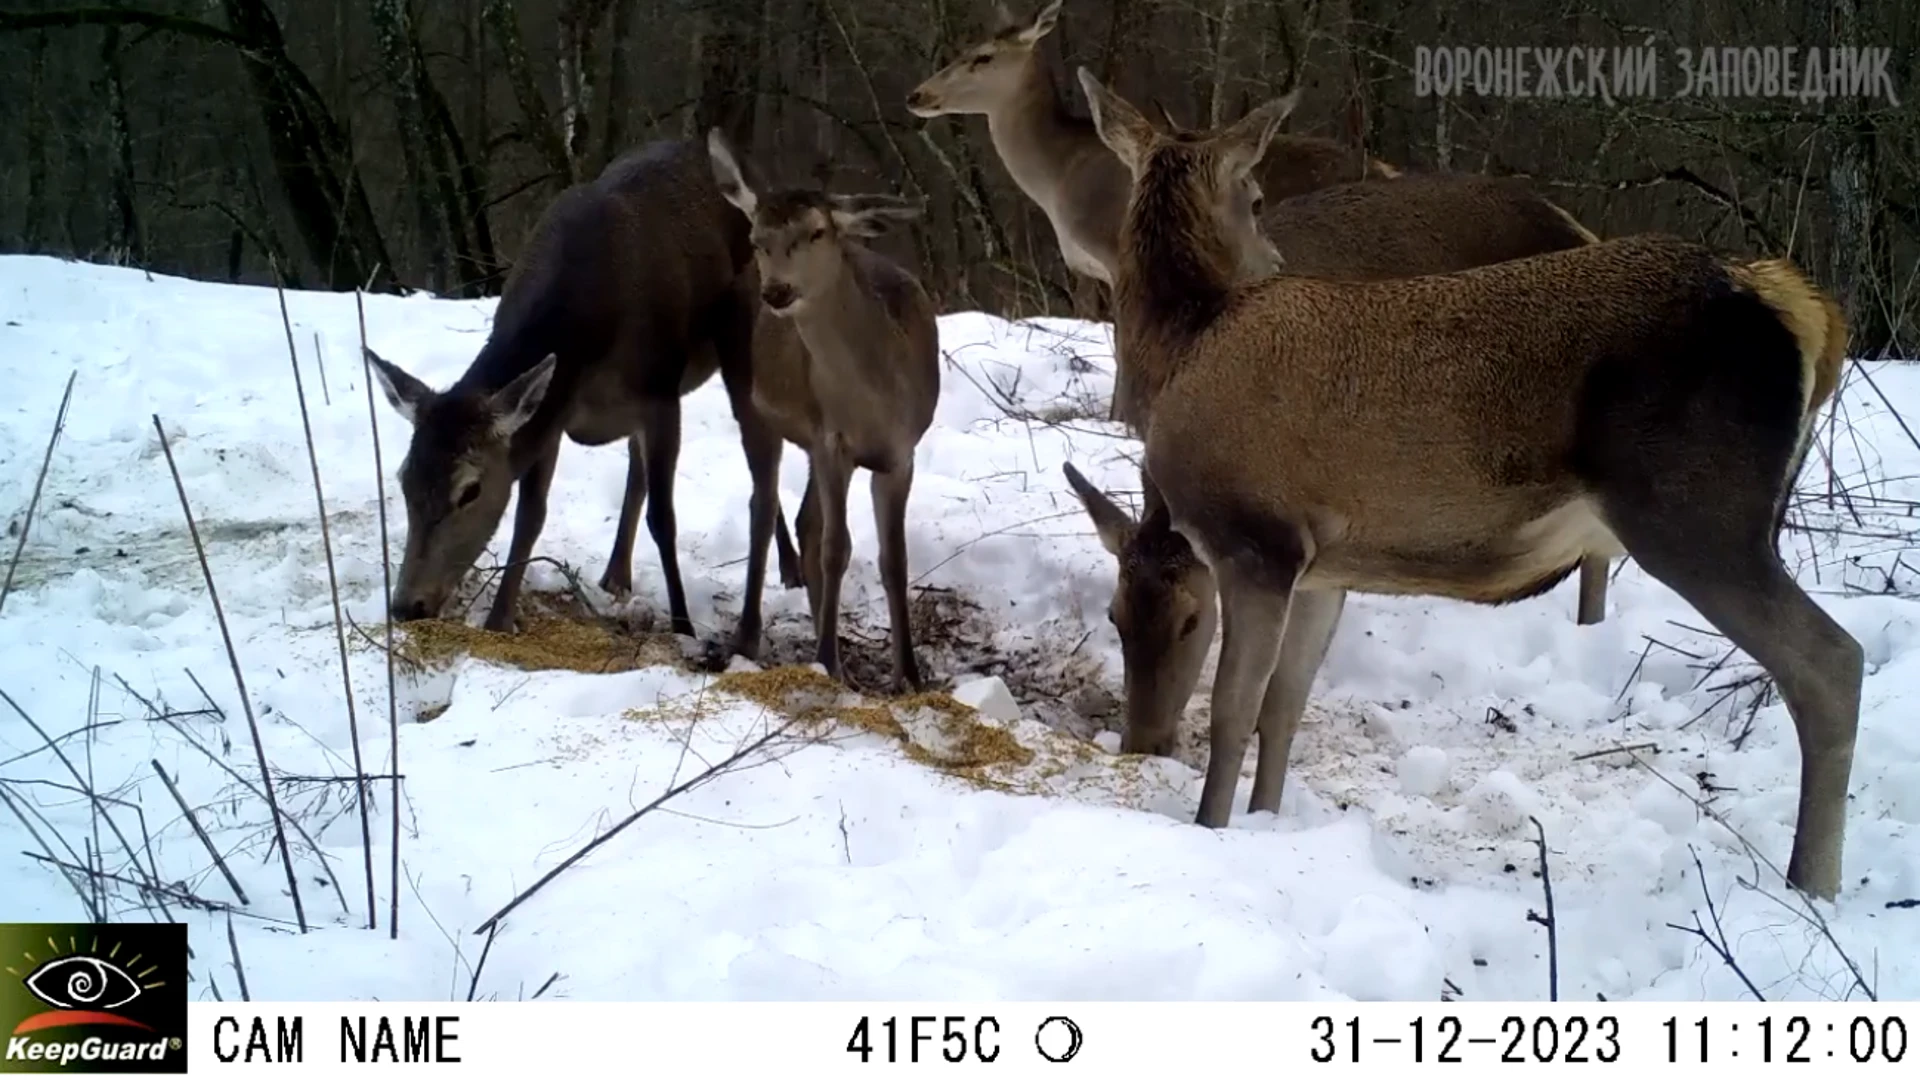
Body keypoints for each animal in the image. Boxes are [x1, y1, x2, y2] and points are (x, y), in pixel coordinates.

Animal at [366, 136, 794, 664]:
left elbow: (664, 519)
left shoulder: (660, 393)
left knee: (760, 462)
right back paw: (618, 575)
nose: (407, 604)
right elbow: (530, 516)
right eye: (403, 478)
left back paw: (779, 585)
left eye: (470, 489)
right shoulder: (551, 412)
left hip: (742, 340)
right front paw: (498, 620)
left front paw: (683, 625)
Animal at [706, 130, 944, 691]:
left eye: (816, 232)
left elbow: (893, 559)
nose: (777, 291)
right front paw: (827, 662)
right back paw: (749, 637)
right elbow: (837, 549)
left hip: (811, 441)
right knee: (764, 506)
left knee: (803, 520)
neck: (876, 401)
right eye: (757, 238)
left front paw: (908, 675)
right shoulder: (833, 441)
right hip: (751, 405)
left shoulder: (900, 453)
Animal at [1075, 62, 1850, 895]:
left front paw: (1212, 832)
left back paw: (1813, 883)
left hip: (1696, 511)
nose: (1141, 741)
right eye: (1113, 617)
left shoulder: (1255, 538)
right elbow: (1284, 706)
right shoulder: (1321, 565)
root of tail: (1800, 305)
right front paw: (1267, 826)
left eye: (1190, 621)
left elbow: (1231, 712)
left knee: (1830, 662)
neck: (1188, 343)